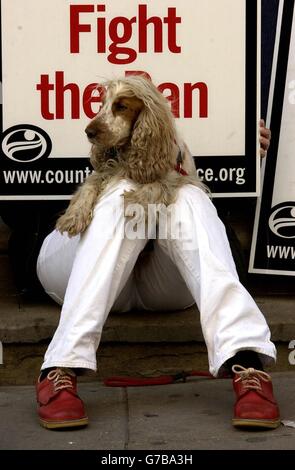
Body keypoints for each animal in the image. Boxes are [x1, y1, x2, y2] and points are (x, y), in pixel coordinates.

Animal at [56, 75, 207, 237]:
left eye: (122, 106)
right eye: (102, 105)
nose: (88, 132)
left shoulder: (180, 175)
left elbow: (159, 184)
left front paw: (134, 202)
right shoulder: (108, 169)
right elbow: (89, 185)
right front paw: (74, 216)